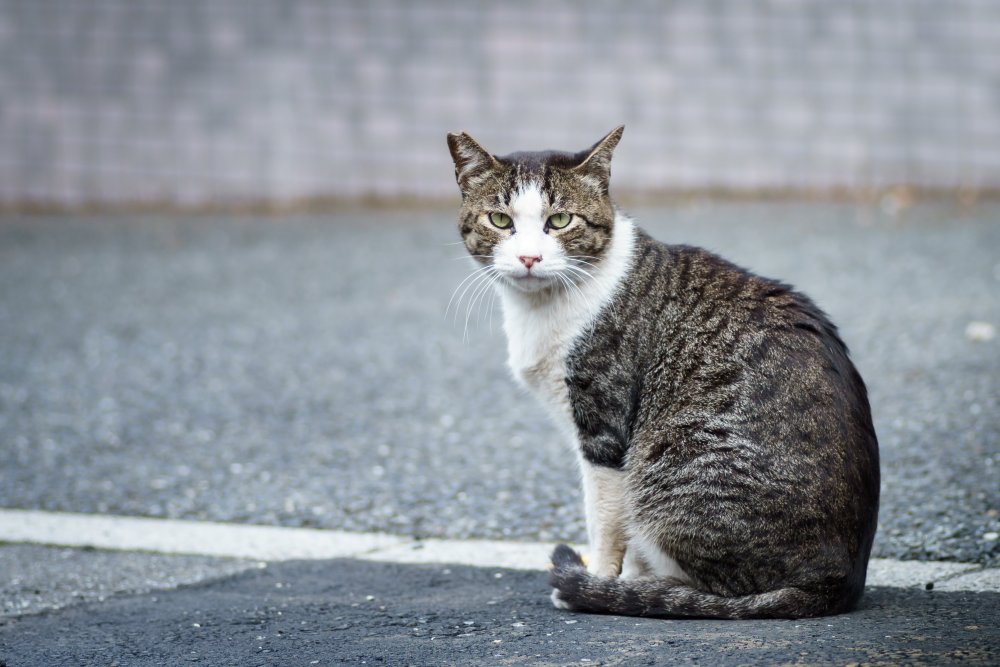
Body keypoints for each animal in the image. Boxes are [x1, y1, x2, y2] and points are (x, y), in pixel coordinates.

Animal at [450, 126, 880, 620]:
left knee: (717, 586)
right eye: (500, 221)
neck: (541, 309)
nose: (528, 258)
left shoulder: (604, 428)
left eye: (559, 221)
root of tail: (836, 582)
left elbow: (607, 521)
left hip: (671, 459)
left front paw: (603, 581)